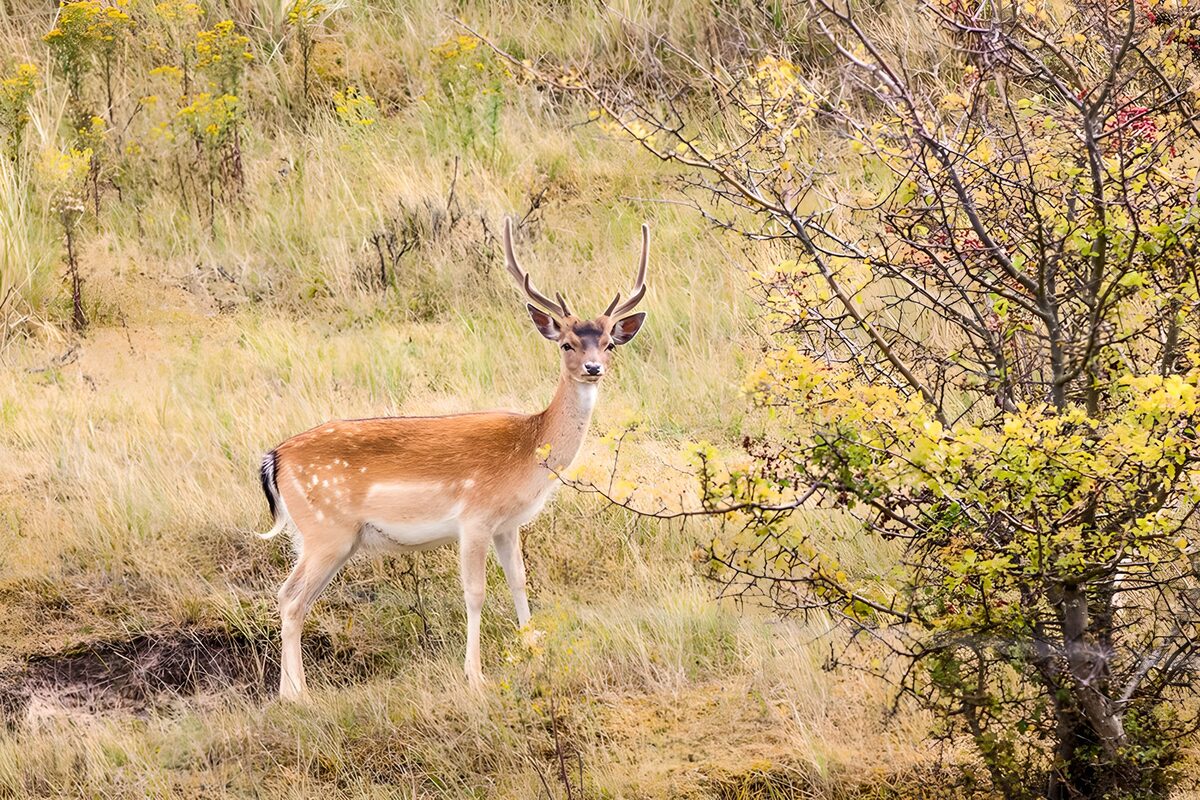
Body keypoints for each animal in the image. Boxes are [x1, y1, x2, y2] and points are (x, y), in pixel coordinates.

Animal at [257, 219, 649, 700]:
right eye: (567, 344)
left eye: (609, 343)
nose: (594, 368)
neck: (528, 451)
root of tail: (274, 457)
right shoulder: (475, 517)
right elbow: (475, 592)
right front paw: (475, 675)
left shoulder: (508, 524)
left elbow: (519, 580)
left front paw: (534, 651)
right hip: (327, 531)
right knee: (292, 598)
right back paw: (299, 695)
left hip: (317, 536)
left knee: (289, 595)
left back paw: (290, 692)